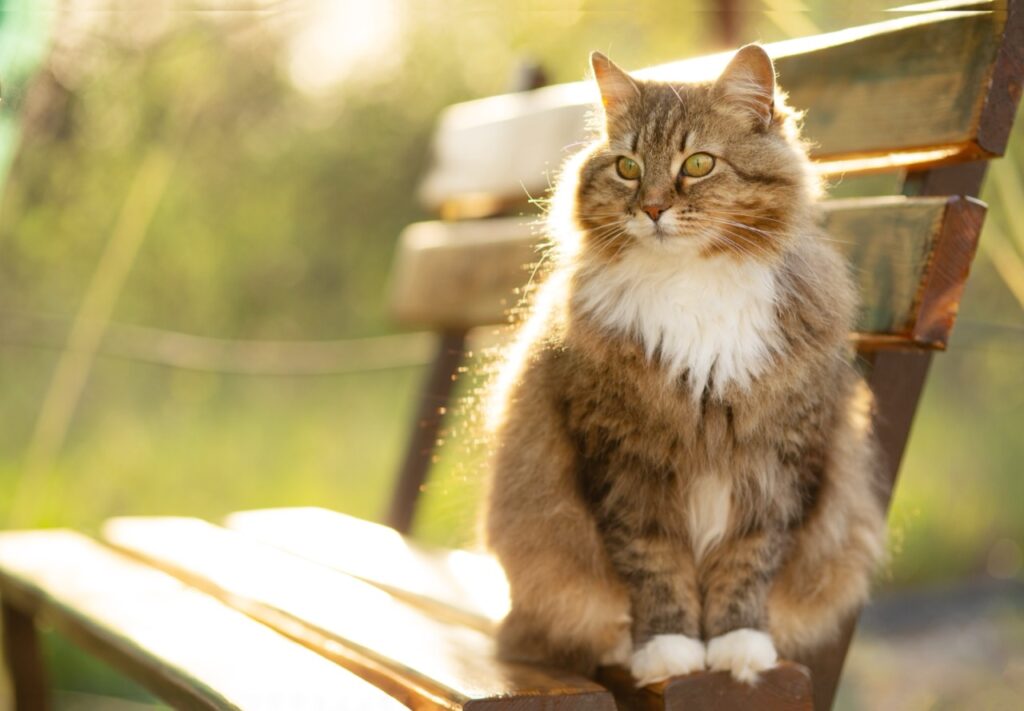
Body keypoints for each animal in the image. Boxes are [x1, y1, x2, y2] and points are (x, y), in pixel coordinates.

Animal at [479, 45, 888, 692]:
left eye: (698, 163)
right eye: (627, 167)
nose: (651, 208)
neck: (691, 282)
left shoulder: (777, 460)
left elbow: (747, 565)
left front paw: (738, 647)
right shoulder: (625, 463)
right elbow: (655, 567)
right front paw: (668, 650)